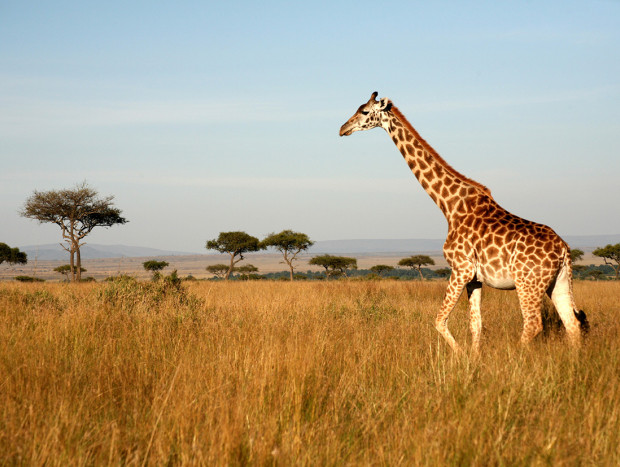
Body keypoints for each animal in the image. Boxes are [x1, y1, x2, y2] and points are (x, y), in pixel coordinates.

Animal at [340, 91, 588, 352]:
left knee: (533, 324)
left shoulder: (460, 269)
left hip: (527, 283)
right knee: (571, 324)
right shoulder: (475, 279)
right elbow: (475, 325)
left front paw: (460, 355)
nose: (342, 128)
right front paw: (474, 357)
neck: (449, 206)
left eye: (365, 111)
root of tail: (564, 249)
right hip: (558, 282)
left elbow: (439, 320)